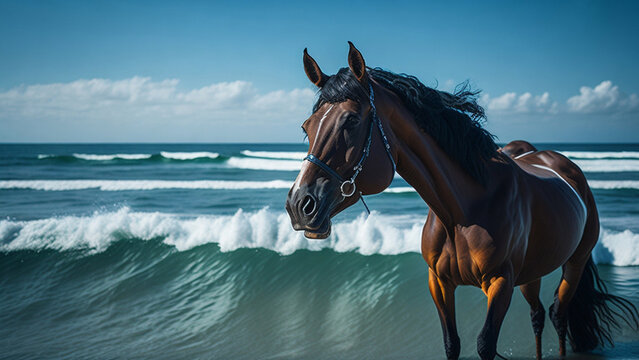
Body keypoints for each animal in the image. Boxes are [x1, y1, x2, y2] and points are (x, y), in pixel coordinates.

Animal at [286, 43, 639, 360]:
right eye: (307, 127)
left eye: (351, 121)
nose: (299, 204)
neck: (462, 211)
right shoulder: (440, 283)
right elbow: (451, 344)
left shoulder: (500, 284)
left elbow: (485, 345)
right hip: (532, 273)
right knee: (538, 316)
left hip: (574, 263)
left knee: (558, 315)